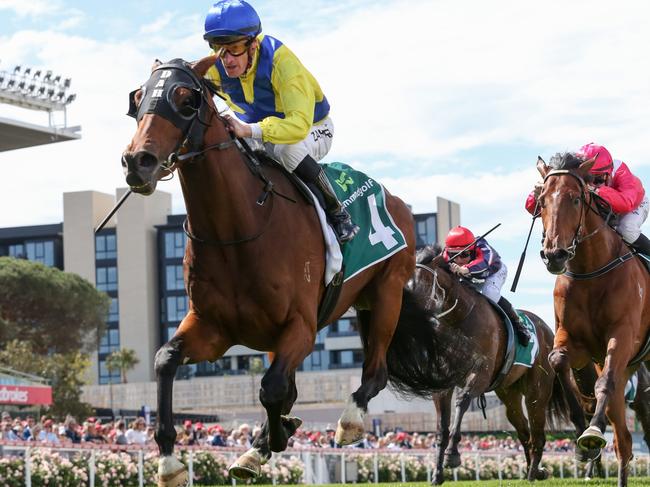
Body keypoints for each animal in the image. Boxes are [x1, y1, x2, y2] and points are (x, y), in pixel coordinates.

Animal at [120, 56, 440, 484]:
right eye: (138, 98)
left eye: (186, 99)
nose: (138, 161)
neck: (238, 228)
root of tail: (397, 199)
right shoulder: (212, 328)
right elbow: (166, 359)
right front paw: (171, 462)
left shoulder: (301, 326)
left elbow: (272, 387)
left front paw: (274, 437)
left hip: (385, 293)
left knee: (375, 372)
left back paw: (348, 421)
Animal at [382, 248, 568, 484]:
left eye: (414, 288)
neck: (458, 318)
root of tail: (547, 330)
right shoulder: (442, 382)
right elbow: (442, 428)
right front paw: (437, 474)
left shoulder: (480, 374)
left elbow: (461, 403)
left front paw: (453, 455)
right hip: (509, 392)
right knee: (524, 431)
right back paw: (533, 471)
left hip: (538, 390)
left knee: (538, 433)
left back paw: (534, 472)